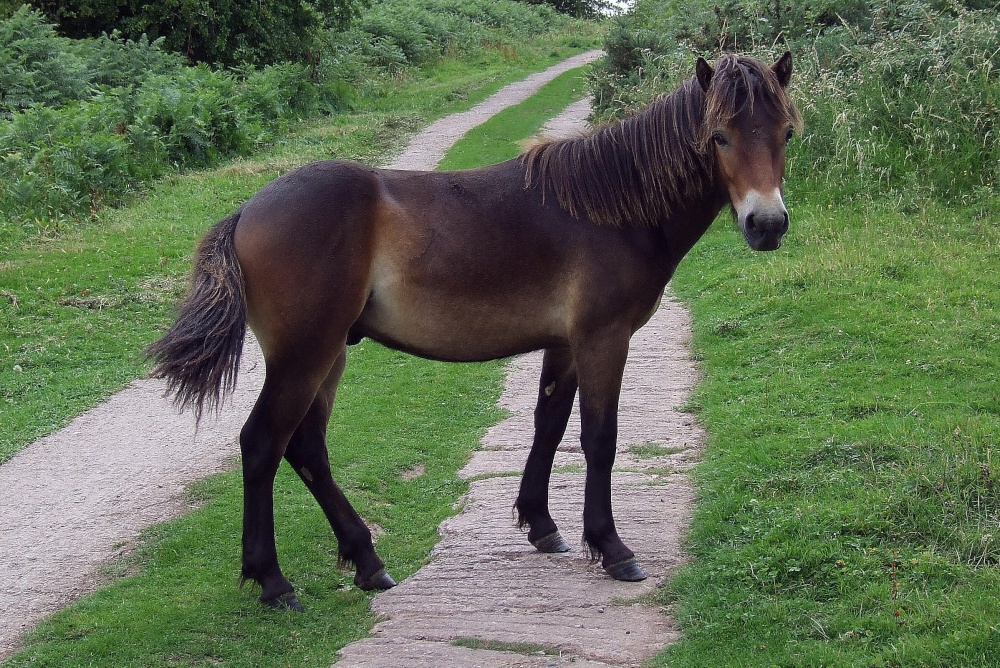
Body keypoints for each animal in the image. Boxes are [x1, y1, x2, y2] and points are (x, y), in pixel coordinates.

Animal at [146, 52, 804, 612]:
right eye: (719, 136)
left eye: (786, 134)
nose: (766, 224)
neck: (612, 208)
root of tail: (247, 211)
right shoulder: (603, 340)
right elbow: (599, 439)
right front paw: (611, 547)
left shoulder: (564, 345)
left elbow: (549, 425)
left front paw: (541, 525)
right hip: (304, 355)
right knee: (263, 444)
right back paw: (274, 581)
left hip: (328, 355)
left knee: (306, 448)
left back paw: (366, 561)